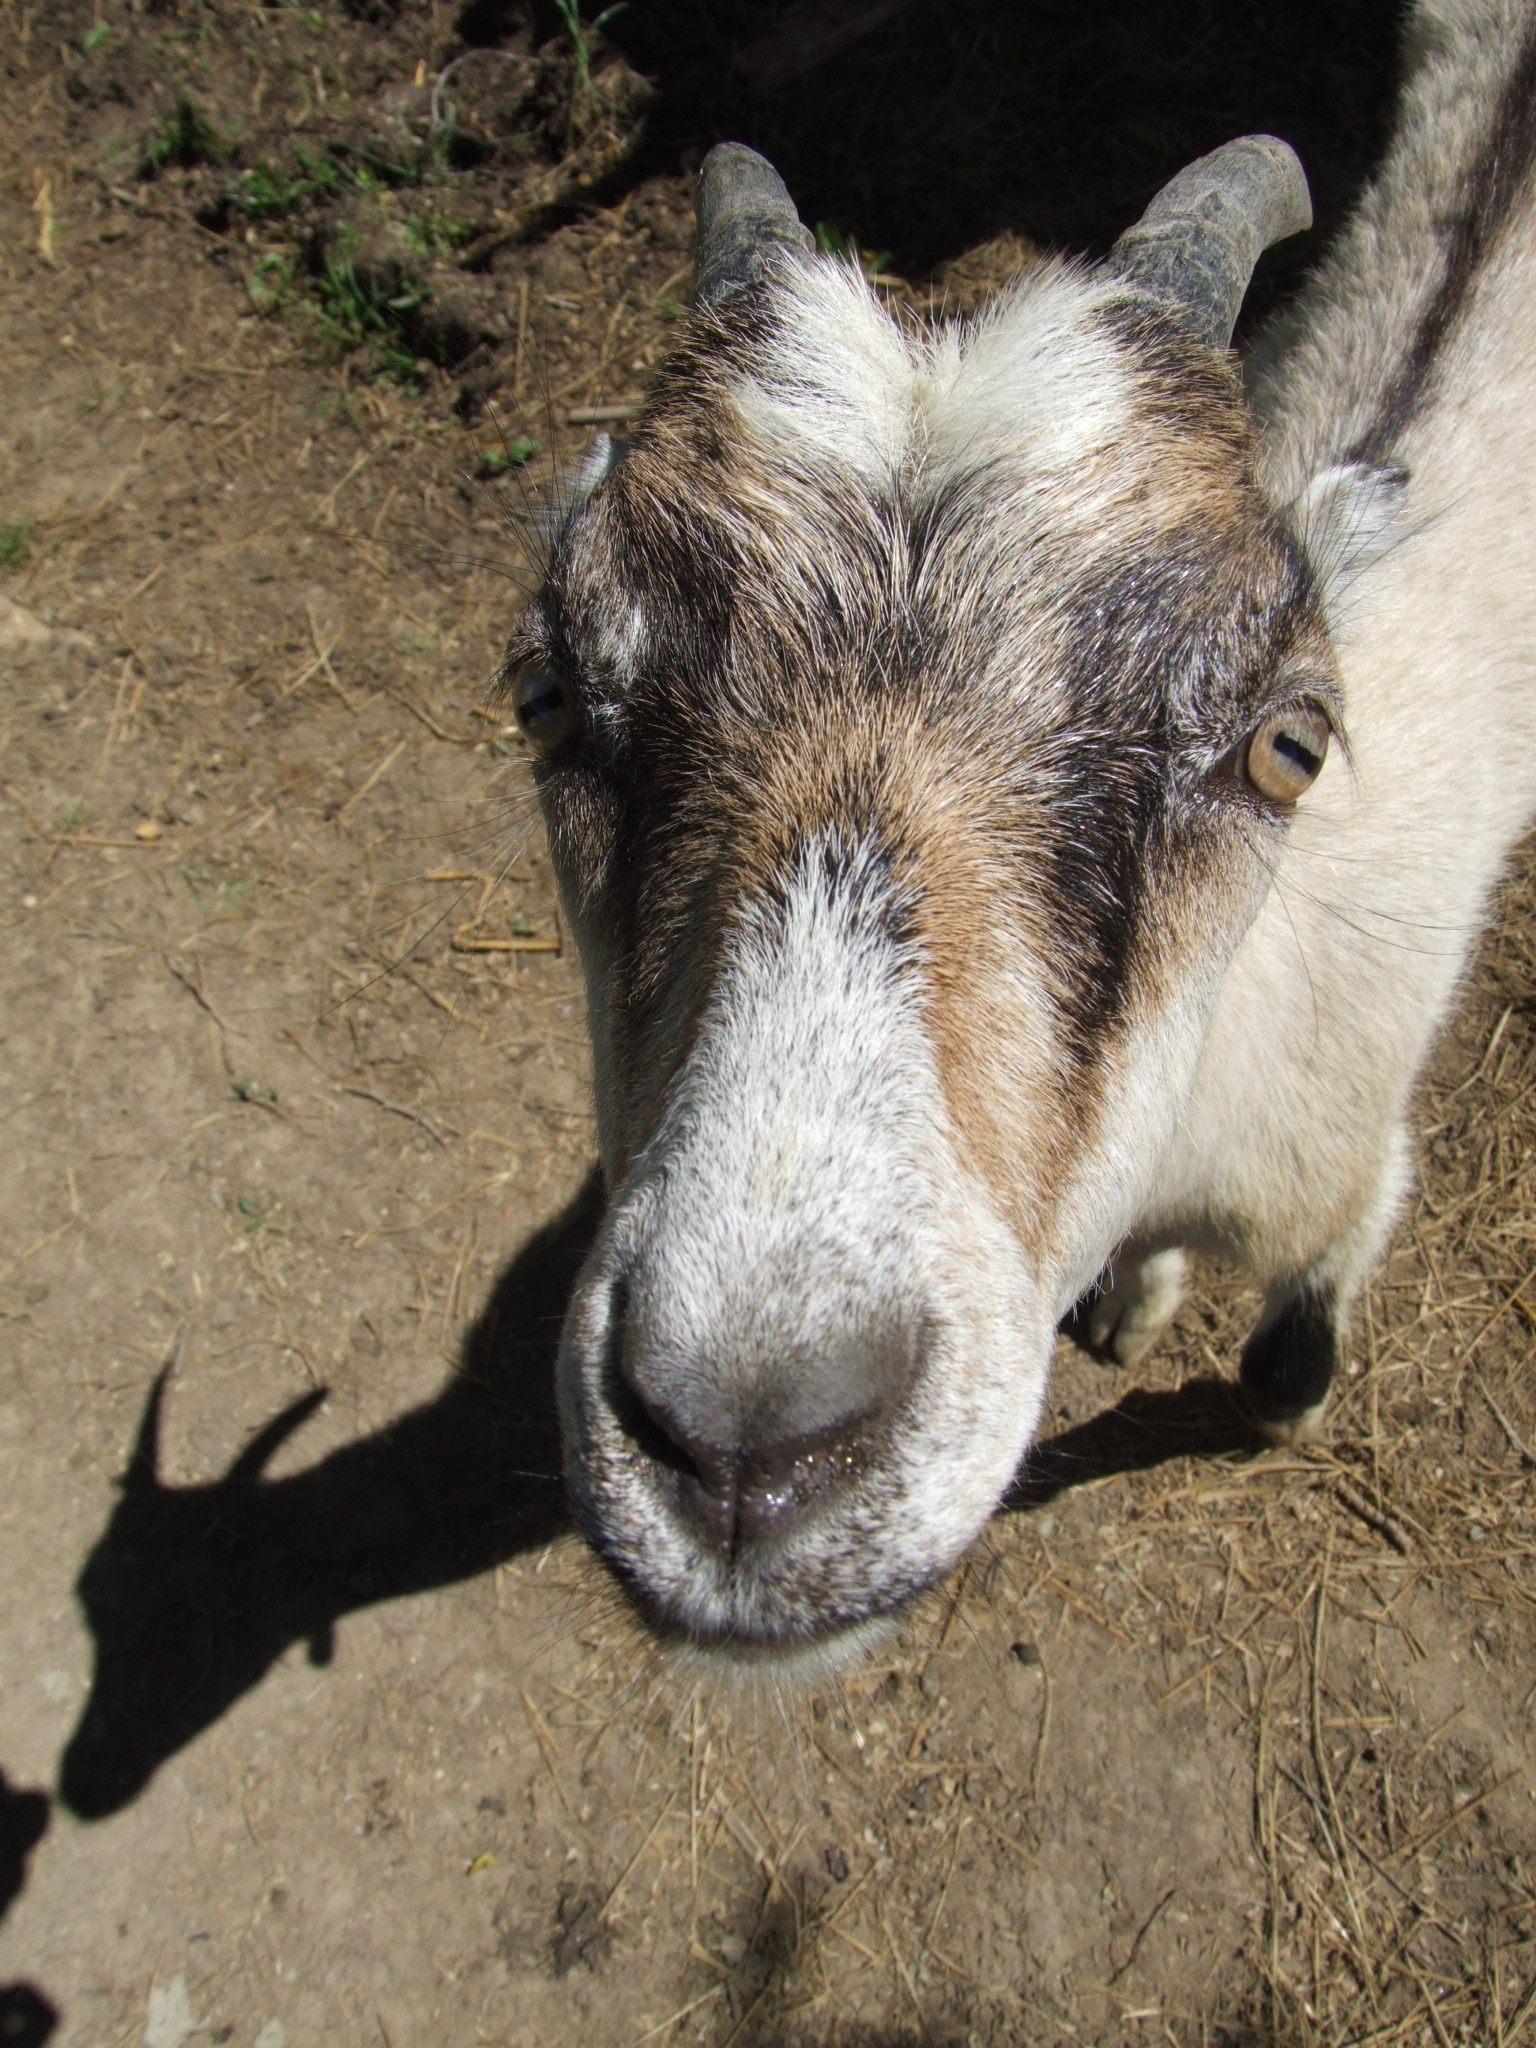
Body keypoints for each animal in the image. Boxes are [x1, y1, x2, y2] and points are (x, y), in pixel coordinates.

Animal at [499, 0, 1536, 1665]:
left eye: (1289, 743)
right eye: (542, 692)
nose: (751, 1444)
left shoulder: (1348, 1164)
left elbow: (1292, 1344)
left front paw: (1275, 1399)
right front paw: (1134, 1298)